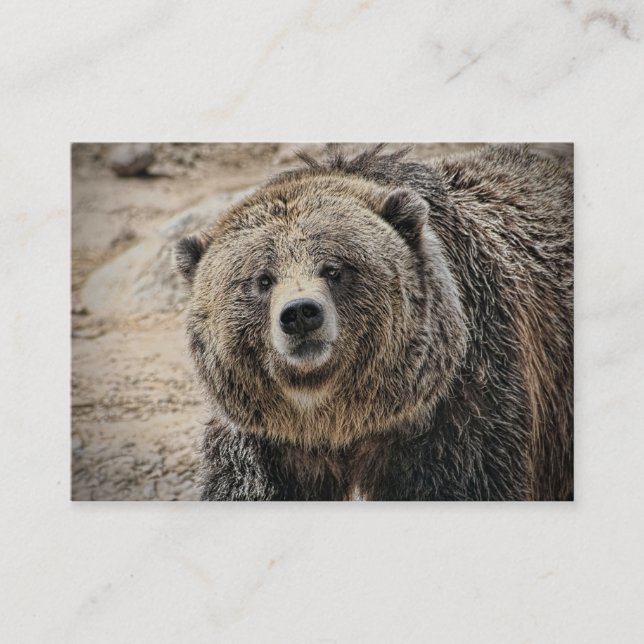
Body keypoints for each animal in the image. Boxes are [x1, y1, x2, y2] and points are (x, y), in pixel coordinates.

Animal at [175, 144, 573, 501]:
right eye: (262, 279)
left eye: (333, 268)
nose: (300, 313)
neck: (340, 422)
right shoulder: (264, 446)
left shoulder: (461, 415)